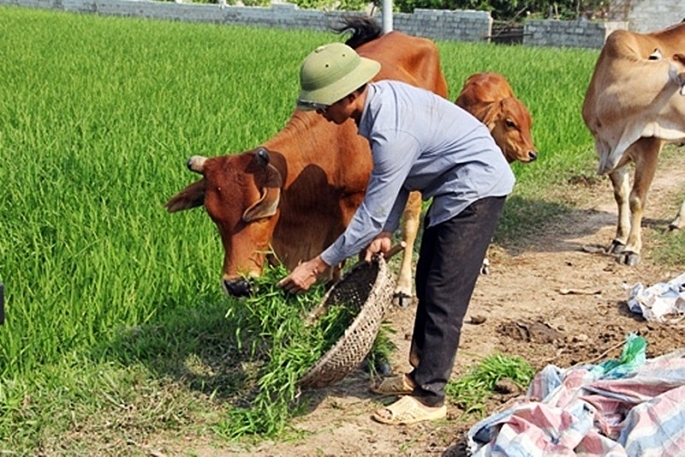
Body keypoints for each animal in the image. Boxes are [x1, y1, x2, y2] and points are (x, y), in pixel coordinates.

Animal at [163, 16, 446, 296]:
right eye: (214, 216)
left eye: (261, 216)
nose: (237, 285)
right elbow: (334, 265)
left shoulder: (359, 203)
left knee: (410, 225)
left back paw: (403, 287)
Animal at [580, 23, 684, 266]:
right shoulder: (605, 148)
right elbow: (621, 194)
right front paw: (619, 239)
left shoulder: (650, 148)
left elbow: (637, 198)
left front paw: (632, 248)